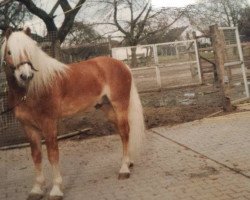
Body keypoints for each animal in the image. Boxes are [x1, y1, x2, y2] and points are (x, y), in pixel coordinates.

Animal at [0, 28, 145, 200]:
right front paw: (37, 189)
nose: (26, 76)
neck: (31, 90)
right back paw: (128, 162)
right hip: (107, 108)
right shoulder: (28, 127)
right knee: (123, 133)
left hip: (120, 105)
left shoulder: (49, 124)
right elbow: (36, 155)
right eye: (9, 52)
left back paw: (124, 170)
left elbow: (52, 154)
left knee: (125, 131)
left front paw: (56, 190)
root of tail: (122, 64)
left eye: (30, 51)